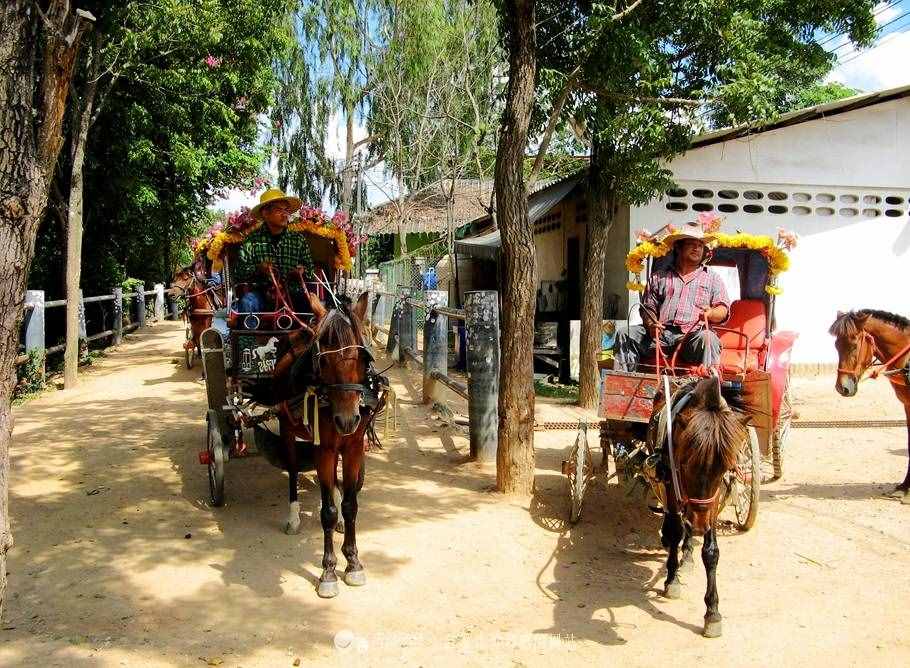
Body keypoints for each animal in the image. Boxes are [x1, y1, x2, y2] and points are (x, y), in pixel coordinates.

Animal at [274, 290, 382, 596]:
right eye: (322, 362)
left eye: (362, 357)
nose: (346, 420)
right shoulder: (324, 448)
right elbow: (328, 511)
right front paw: (329, 571)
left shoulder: (353, 447)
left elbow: (350, 504)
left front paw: (354, 562)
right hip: (288, 427)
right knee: (293, 470)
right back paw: (294, 517)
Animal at [660, 376, 752, 636]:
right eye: (685, 463)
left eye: (724, 469)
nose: (700, 524)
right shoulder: (671, 483)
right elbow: (674, 531)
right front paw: (672, 580)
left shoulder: (714, 500)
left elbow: (711, 552)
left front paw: (712, 612)